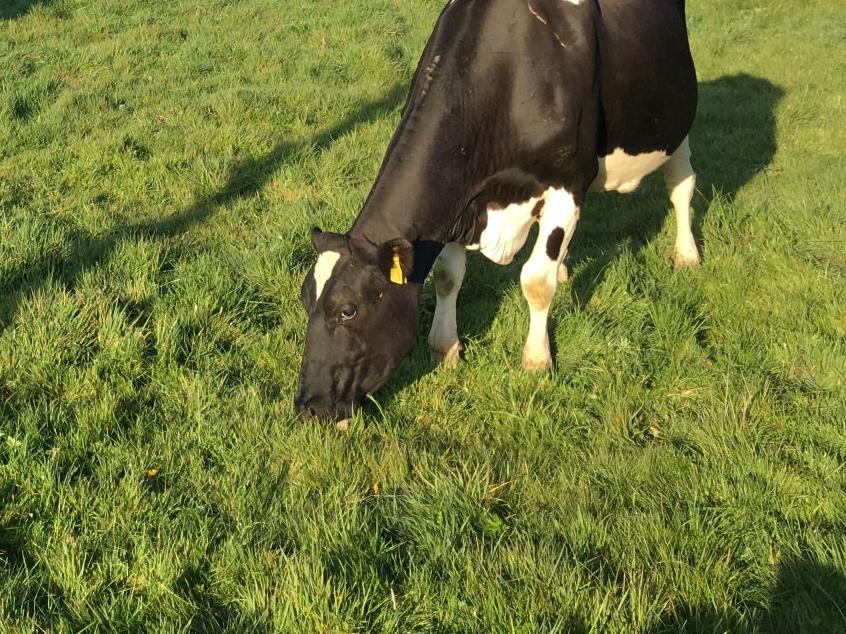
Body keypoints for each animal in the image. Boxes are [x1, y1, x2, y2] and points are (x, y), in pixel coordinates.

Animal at [295, 0, 700, 421]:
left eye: (348, 310)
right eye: (305, 301)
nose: (308, 405)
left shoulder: (566, 183)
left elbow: (535, 281)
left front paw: (537, 360)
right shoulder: (462, 202)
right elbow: (447, 275)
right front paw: (445, 346)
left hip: (678, 123)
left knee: (681, 186)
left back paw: (687, 254)